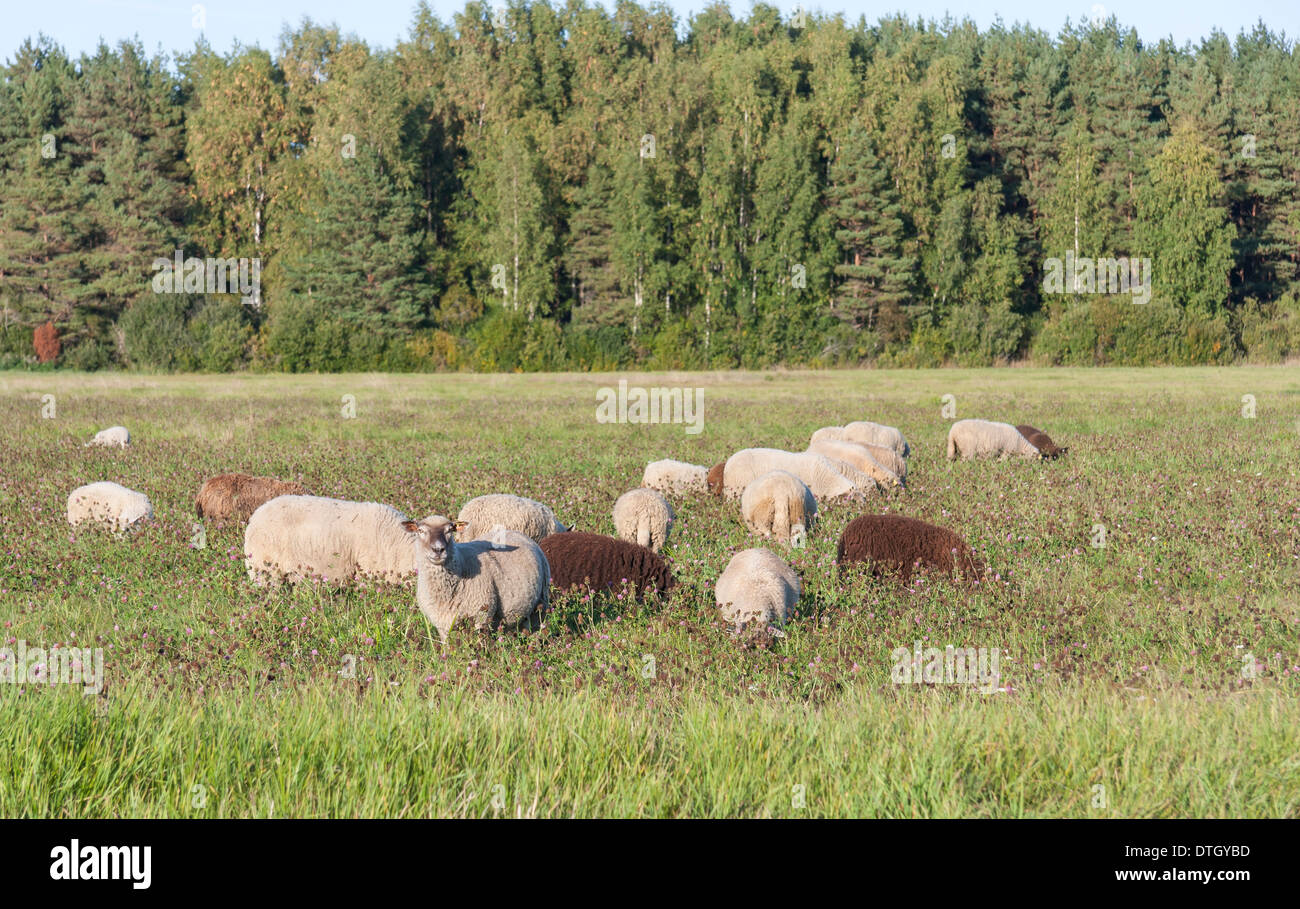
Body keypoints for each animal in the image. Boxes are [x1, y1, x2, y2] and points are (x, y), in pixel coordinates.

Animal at [402, 515, 549, 639]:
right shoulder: (441, 624)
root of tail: (518, 533)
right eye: (420, 530)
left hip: (541, 603)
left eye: (450, 530)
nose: (438, 549)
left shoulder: (481, 617)